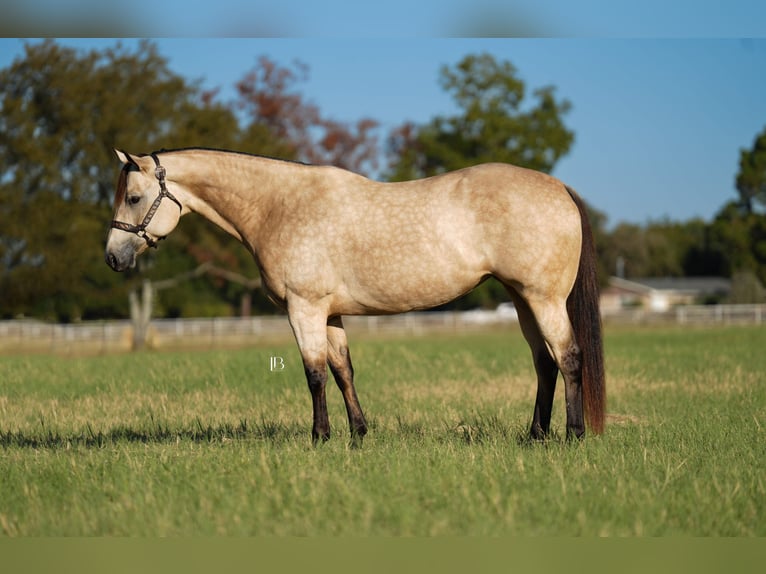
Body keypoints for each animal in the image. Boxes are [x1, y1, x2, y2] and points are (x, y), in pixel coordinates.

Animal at [105, 147, 605, 444]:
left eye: (133, 197)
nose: (113, 258)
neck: (279, 206)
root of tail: (559, 187)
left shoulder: (304, 309)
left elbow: (314, 374)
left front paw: (320, 438)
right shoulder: (329, 314)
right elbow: (343, 371)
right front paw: (358, 434)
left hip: (543, 299)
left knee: (568, 357)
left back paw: (573, 436)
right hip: (522, 299)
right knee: (544, 363)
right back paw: (535, 435)